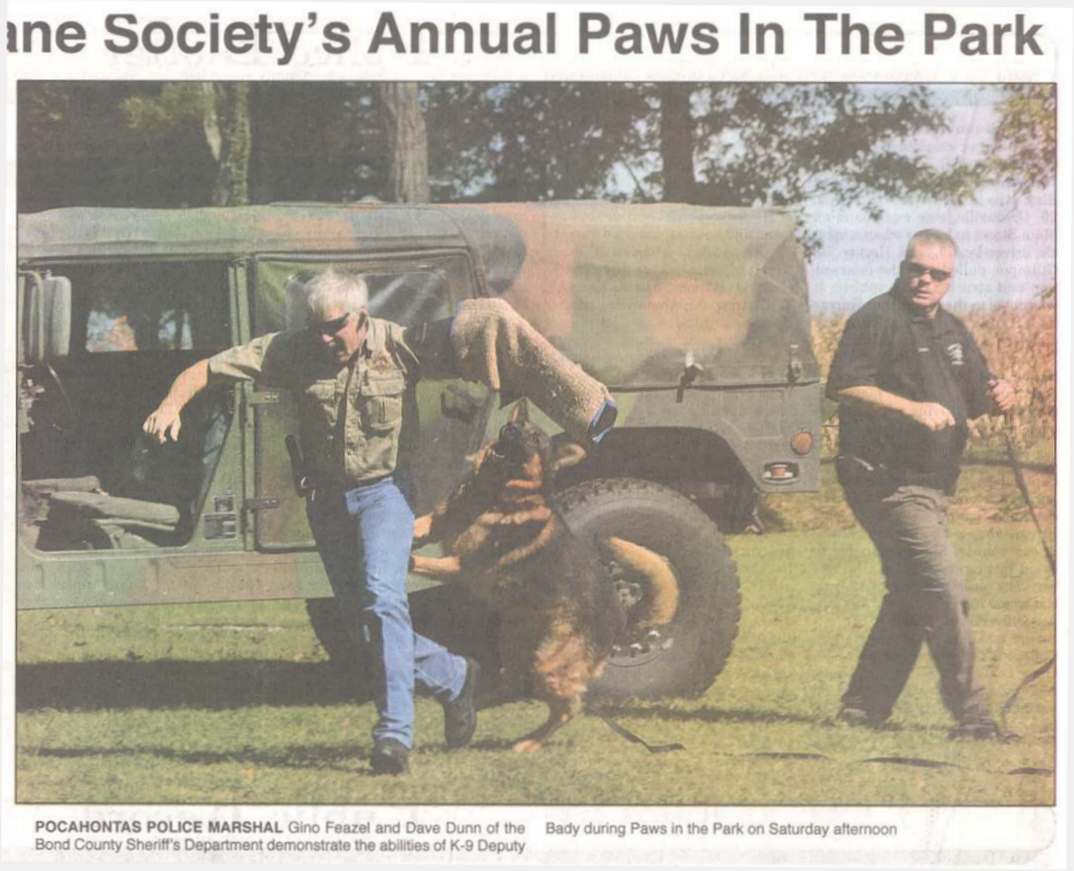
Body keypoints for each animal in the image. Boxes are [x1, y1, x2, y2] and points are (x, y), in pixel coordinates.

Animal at [410, 401, 678, 747]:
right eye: (519, 427)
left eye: (536, 439)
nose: (510, 430)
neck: (492, 493)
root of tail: (622, 618)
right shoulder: (433, 525)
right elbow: (411, 528)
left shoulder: (457, 566)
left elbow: (415, 559)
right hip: (512, 643)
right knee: (510, 685)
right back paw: (472, 704)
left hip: (547, 666)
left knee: (567, 709)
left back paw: (529, 742)